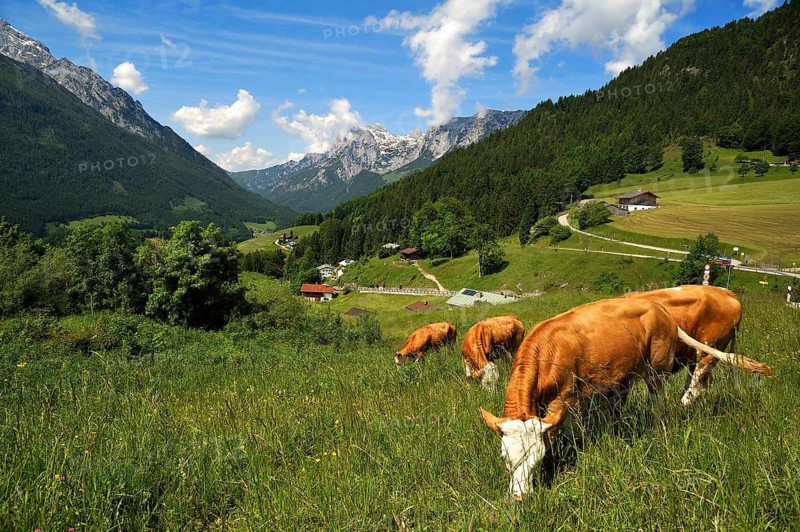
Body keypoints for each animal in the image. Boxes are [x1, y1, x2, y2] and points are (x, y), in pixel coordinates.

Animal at [478, 297, 772, 501]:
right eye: (505, 458)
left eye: (538, 458)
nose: (519, 498)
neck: (548, 350)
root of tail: (663, 312)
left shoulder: (566, 398)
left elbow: (570, 432)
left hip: (656, 370)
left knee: (662, 402)